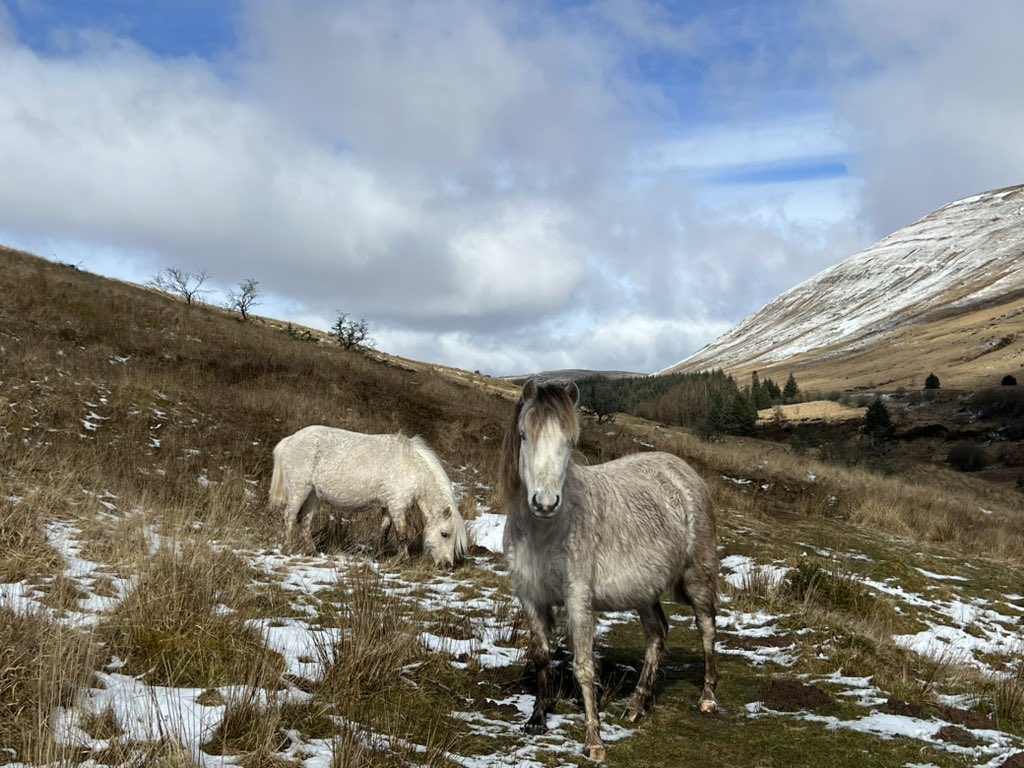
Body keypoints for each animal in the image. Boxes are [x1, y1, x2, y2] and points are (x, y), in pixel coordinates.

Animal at [268, 428, 468, 573]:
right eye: (445, 534)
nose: (448, 566)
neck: (412, 467)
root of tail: (292, 439)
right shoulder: (397, 507)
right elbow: (402, 534)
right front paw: (401, 559)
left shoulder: (389, 507)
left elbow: (384, 531)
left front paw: (377, 556)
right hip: (299, 490)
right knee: (289, 517)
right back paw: (288, 550)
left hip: (312, 495)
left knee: (305, 522)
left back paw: (312, 552)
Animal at [499, 382, 716, 761]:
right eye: (525, 435)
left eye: (570, 440)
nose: (545, 502)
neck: (545, 531)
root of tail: (683, 471)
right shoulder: (529, 596)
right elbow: (541, 655)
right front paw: (537, 718)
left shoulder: (577, 598)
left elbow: (584, 666)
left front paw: (594, 741)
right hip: (644, 590)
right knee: (657, 634)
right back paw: (637, 706)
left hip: (696, 578)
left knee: (707, 629)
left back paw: (707, 699)